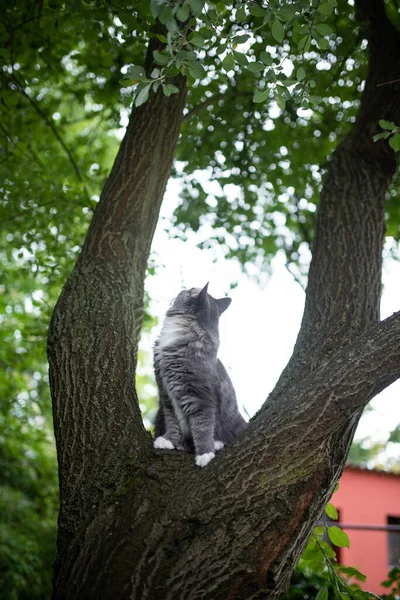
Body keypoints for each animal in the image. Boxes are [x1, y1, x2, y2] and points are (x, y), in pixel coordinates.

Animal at [153, 284, 247, 466]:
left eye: (191, 289)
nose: (184, 287)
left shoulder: (200, 397)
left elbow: (202, 426)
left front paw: (205, 454)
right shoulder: (167, 395)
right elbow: (173, 422)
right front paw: (169, 440)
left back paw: (217, 444)